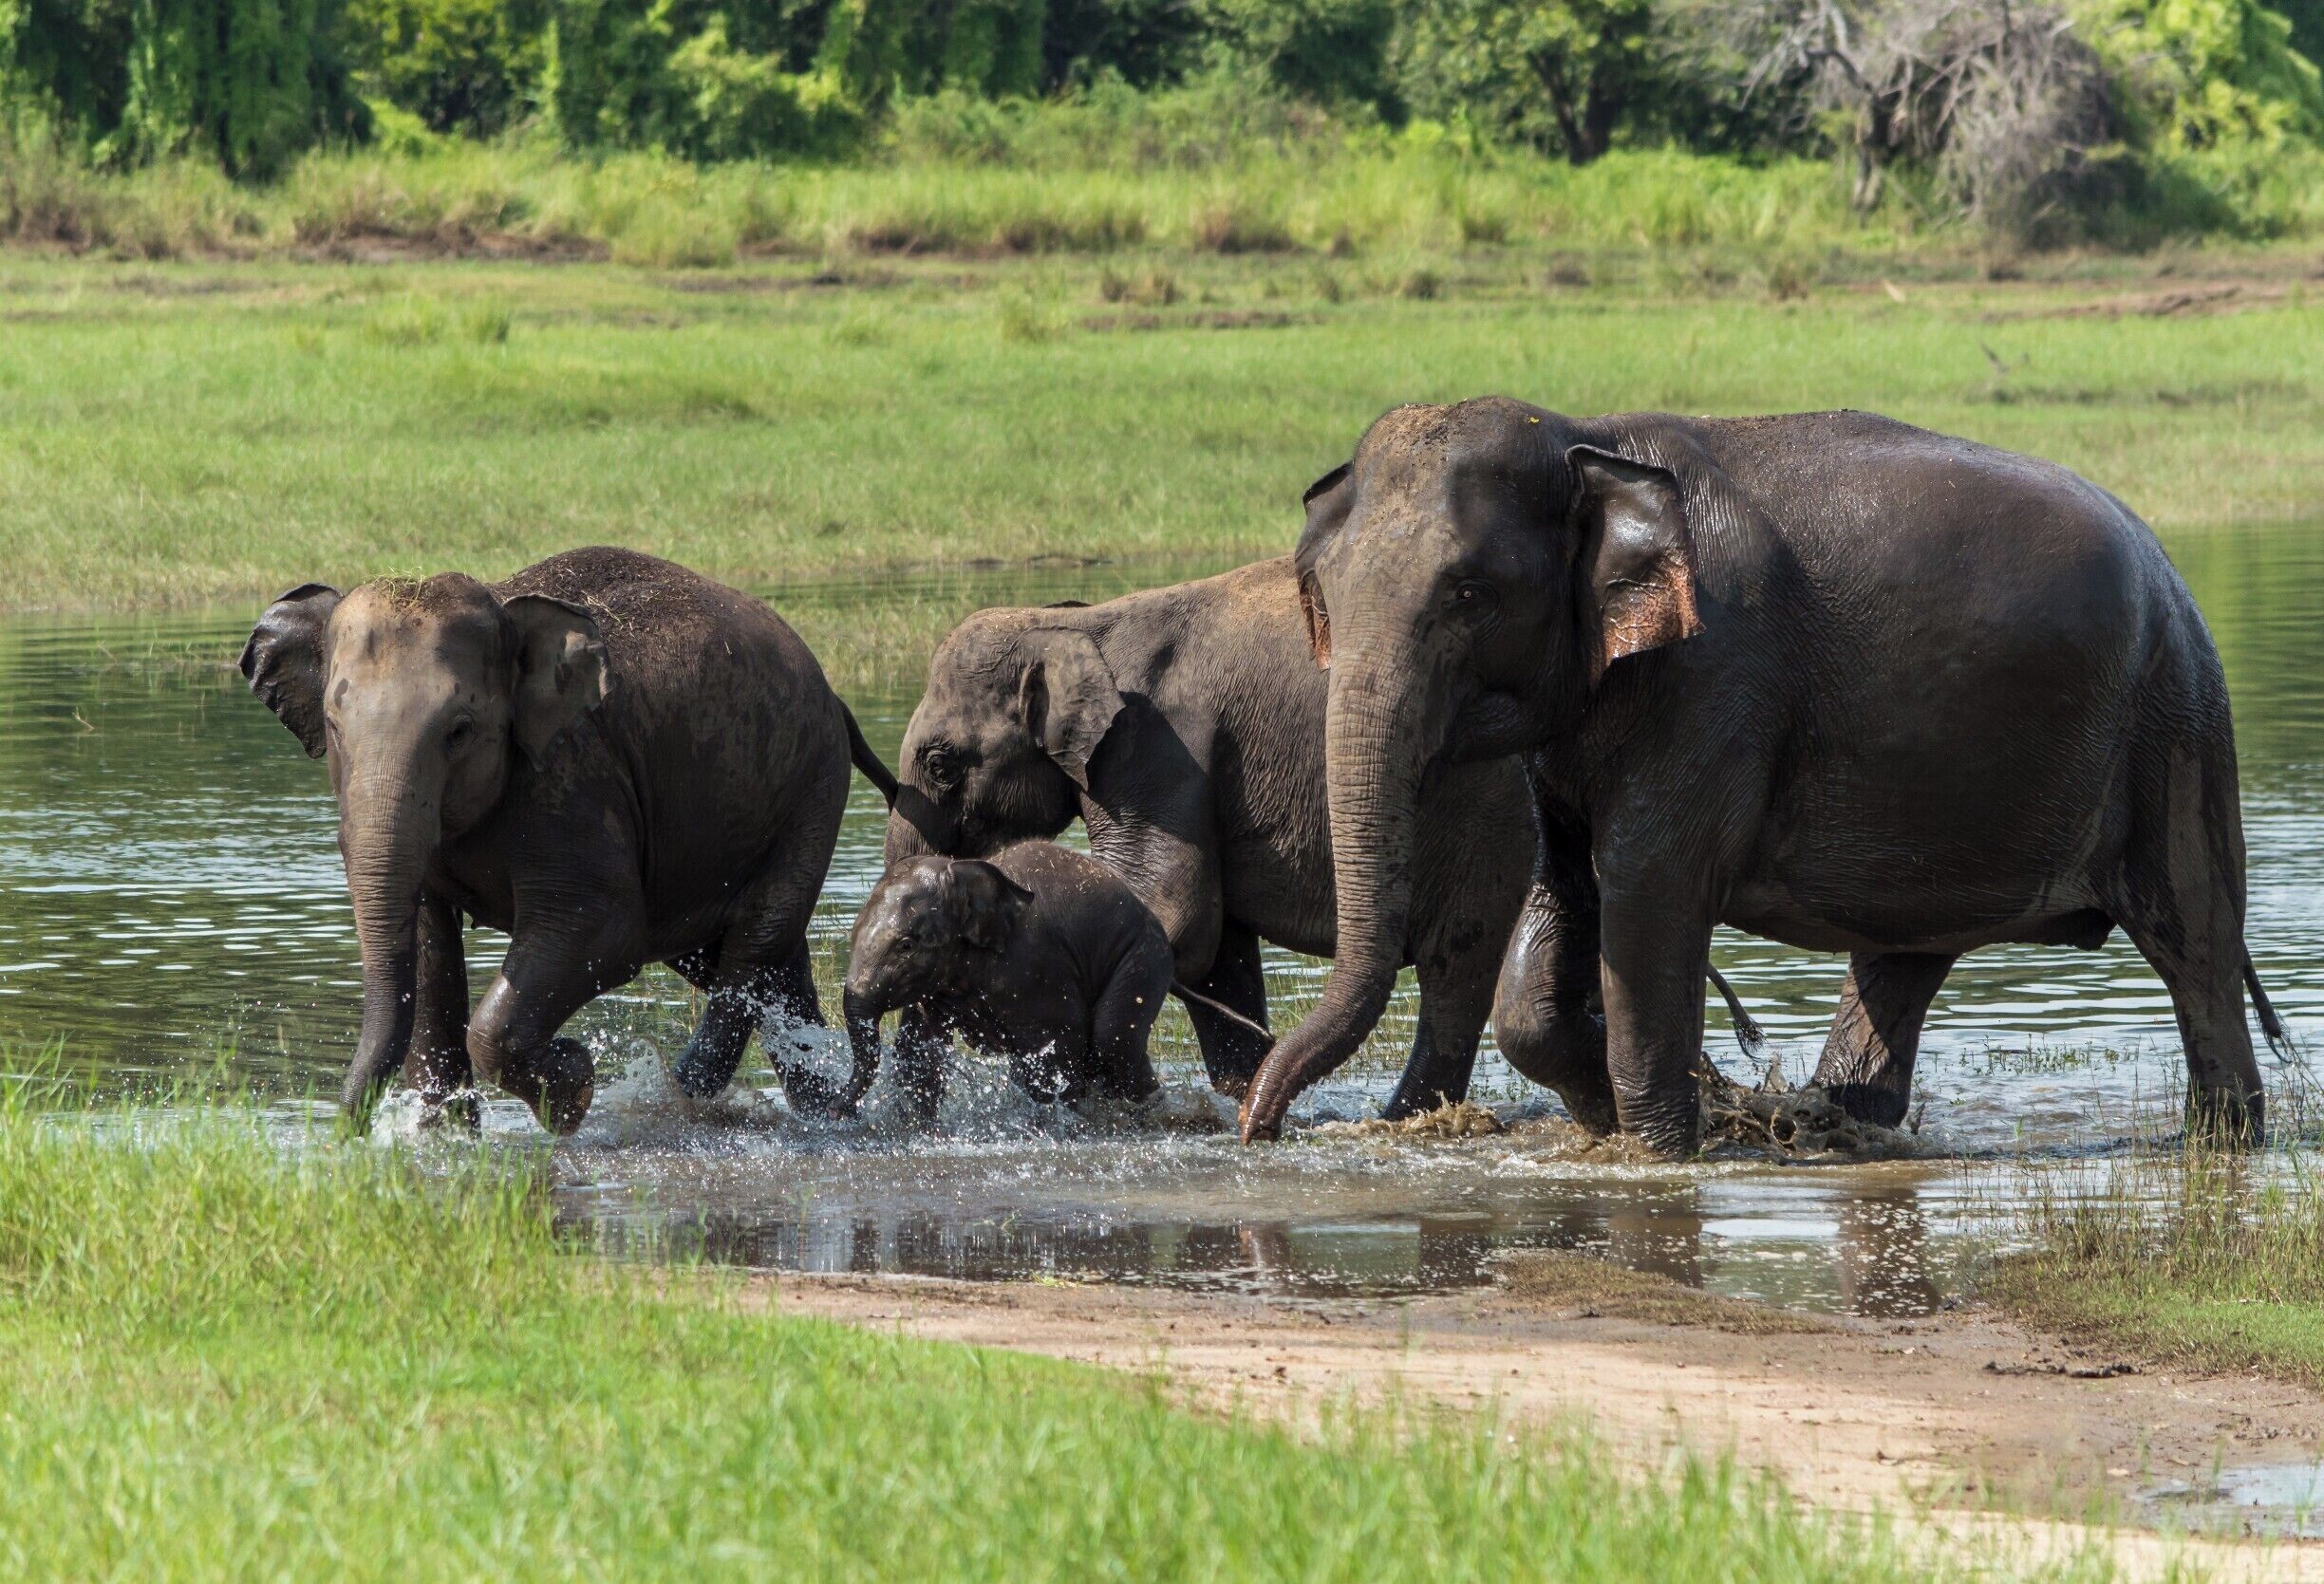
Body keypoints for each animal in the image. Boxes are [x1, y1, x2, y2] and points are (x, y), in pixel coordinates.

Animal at [241, 546, 897, 1135]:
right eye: (332, 726)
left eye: (460, 730)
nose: (343, 1136)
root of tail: (834, 698)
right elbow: (426, 947)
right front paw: (444, 1141)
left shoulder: (572, 777)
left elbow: (606, 929)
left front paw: (572, 1091)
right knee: (754, 959)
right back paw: (821, 1114)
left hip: (812, 790)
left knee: (753, 944)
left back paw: (685, 1101)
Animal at [838, 842, 1199, 1116]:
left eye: (906, 945)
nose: (837, 1109)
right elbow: (920, 1052)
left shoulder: (1035, 967)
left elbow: (1052, 1055)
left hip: (1143, 957)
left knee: (1113, 1042)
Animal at [1245, 398, 2289, 1152]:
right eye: (1322, 593)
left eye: (1468, 593)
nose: (1261, 1128)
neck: (1591, 436)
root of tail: (2171, 568)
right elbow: (1564, 890)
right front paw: (1635, 1109)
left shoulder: (1714, 677)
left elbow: (1648, 890)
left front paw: (1662, 1150)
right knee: (1900, 958)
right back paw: (1837, 1122)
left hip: (2176, 721)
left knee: (2192, 942)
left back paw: (2221, 1143)